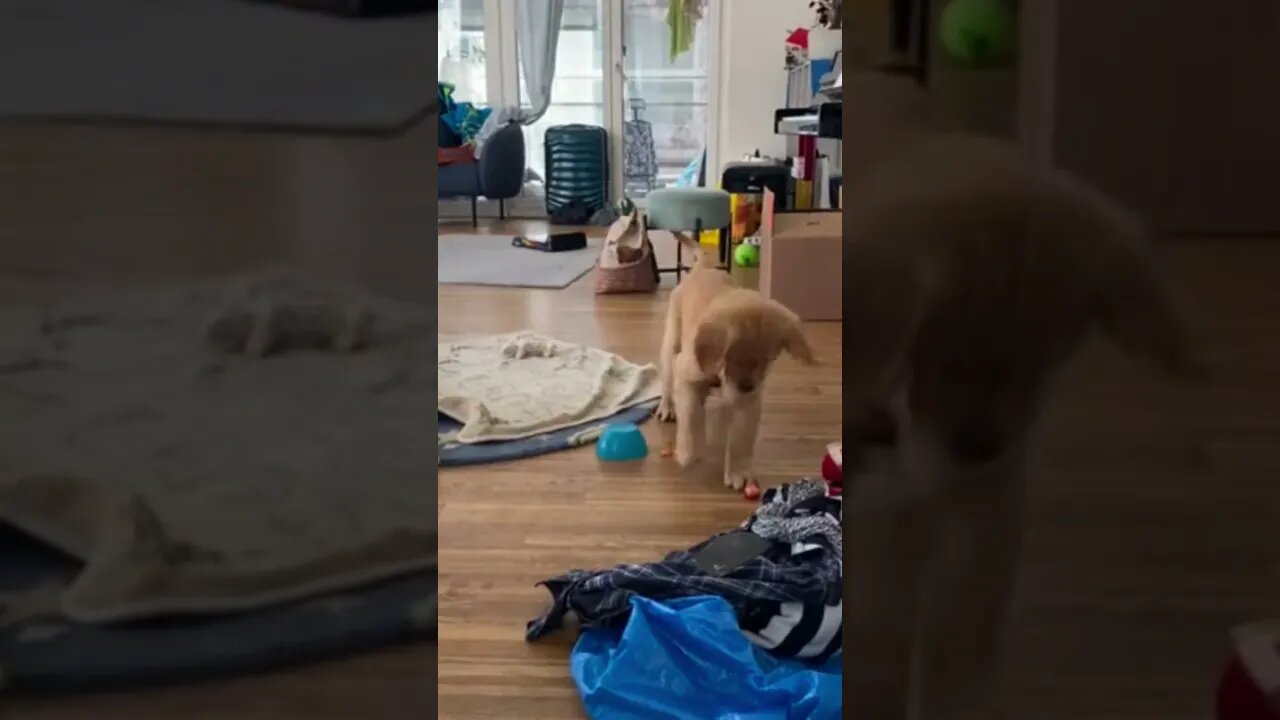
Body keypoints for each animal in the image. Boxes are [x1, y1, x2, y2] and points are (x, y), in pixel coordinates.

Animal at [655, 240, 814, 486]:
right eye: (731, 358)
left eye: (768, 360)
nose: (746, 388)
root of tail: (702, 268)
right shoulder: (687, 376)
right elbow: (690, 417)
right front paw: (687, 453)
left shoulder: (750, 399)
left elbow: (742, 436)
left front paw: (739, 472)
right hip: (671, 344)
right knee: (668, 382)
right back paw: (667, 407)